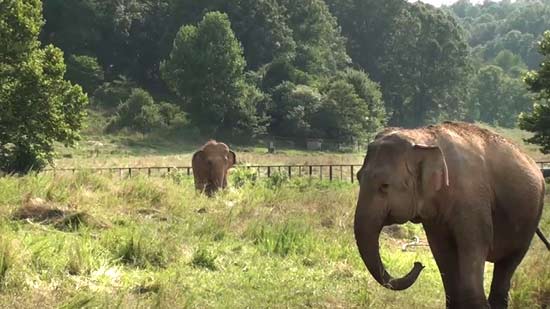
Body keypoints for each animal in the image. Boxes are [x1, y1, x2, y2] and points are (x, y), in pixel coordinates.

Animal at [356, 121, 548, 306]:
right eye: (358, 177)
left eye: (384, 186)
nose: (418, 264)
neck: (424, 137)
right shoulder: (434, 214)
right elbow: (442, 249)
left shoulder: (473, 198)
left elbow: (473, 244)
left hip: (530, 219)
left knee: (509, 262)